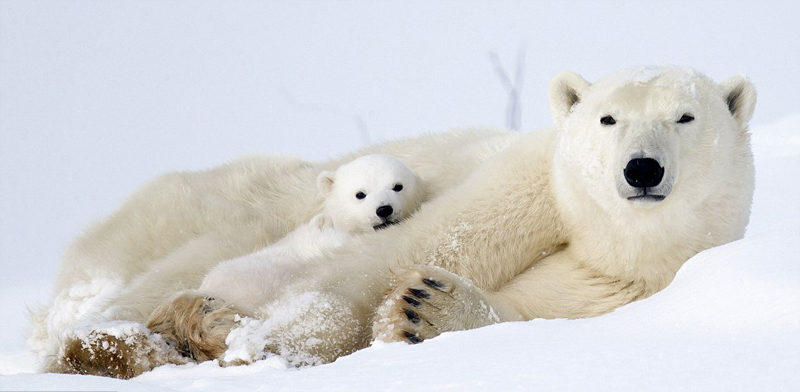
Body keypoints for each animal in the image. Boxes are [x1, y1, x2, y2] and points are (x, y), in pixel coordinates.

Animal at [31, 66, 756, 378]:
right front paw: (265, 343)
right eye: (607, 118)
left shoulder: (629, 286)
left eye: (684, 117)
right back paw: (127, 339)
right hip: (225, 204)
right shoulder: (528, 184)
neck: (610, 244)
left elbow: (524, 313)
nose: (641, 169)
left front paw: (424, 308)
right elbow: (415, 245)